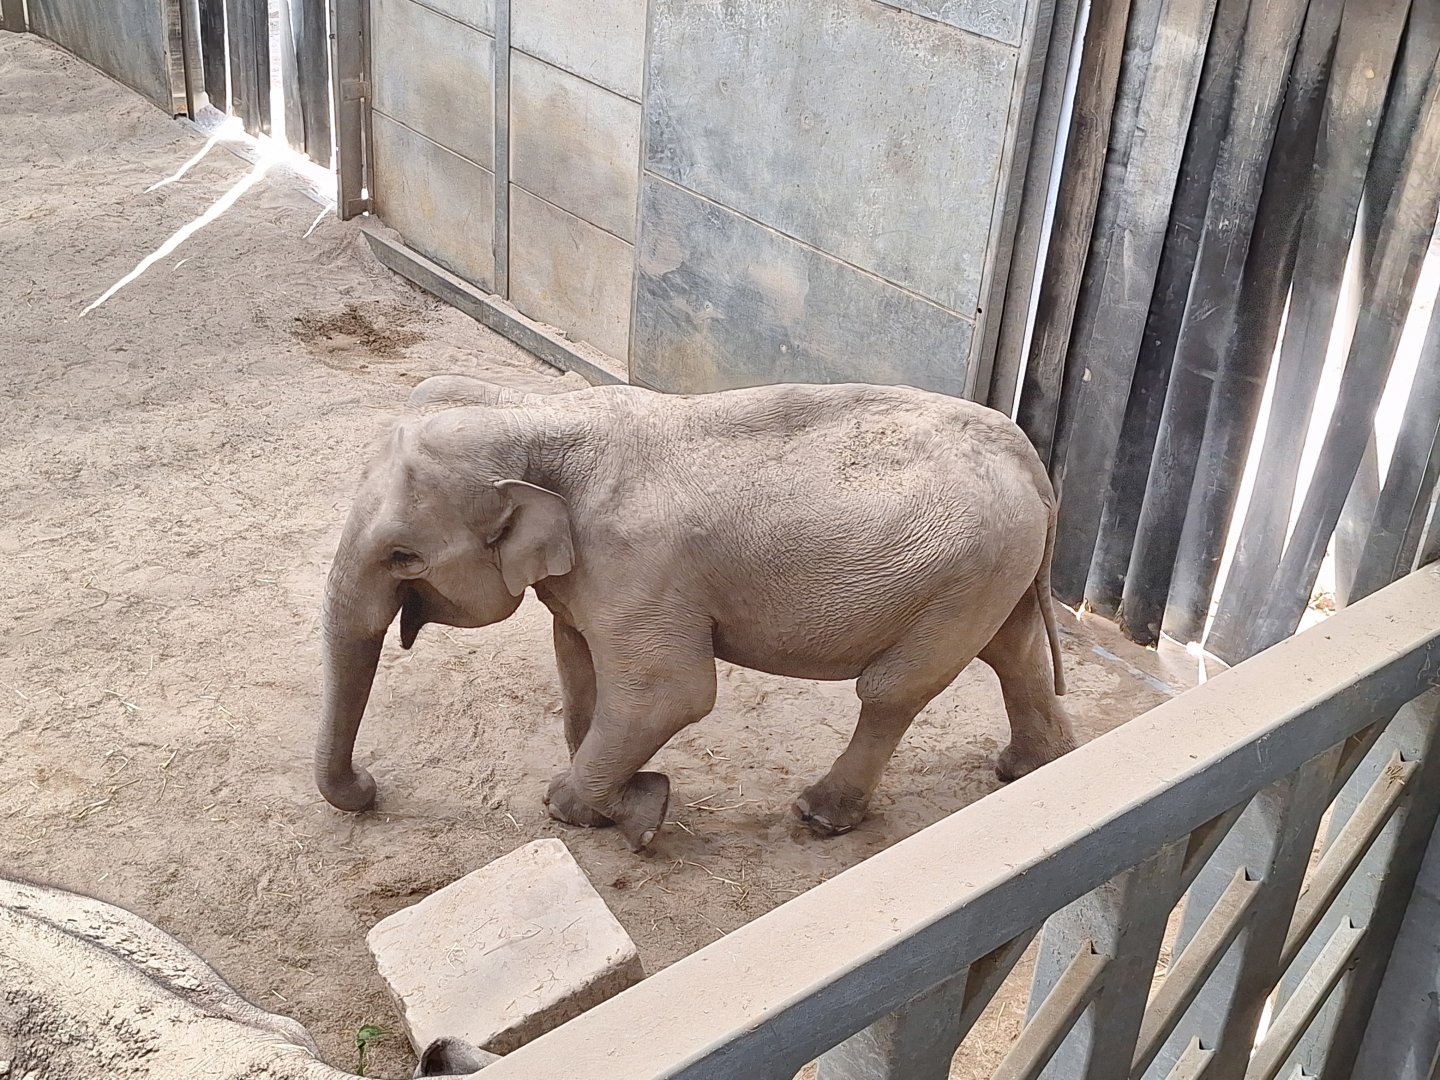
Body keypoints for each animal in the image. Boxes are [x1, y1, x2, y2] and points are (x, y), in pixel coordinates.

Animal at [315, 376, 1077, 851]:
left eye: (403, 557)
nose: (372, 788)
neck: (538, 416)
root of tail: (1029, 458)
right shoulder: (592, 580)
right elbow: (577, 663)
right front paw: (635, 802)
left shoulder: (639, 569)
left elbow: (670, 693)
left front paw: (589, 808)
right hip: (993, 571)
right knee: (1013, 652)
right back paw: (1033, 768)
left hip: (963, 575)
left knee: (892, 689)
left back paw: (818, 815)